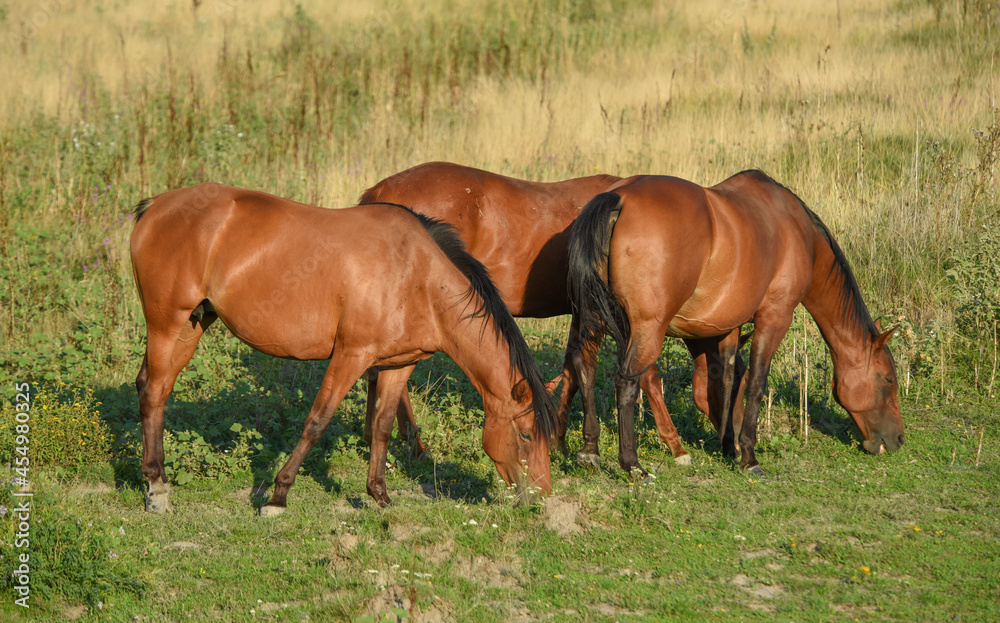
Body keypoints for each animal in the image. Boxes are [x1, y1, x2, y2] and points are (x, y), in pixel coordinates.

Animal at [129, 183, 555, 513]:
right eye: (527, 435)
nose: (541, 497)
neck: (417, 276)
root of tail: (156, 205)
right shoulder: (351, 355)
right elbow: (317, 421)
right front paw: (278, 497)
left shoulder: (400, 364)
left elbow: (382, 426)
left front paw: (380, 496)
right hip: (167, 325)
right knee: (152, 392)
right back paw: (155, 489)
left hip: (192, 326)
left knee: (157, 390)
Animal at [358, 162, 748, 469]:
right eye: (739, 381)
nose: (736, 438)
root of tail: (382, 190)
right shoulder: (621, 317)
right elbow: (644, 376)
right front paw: (675, 444)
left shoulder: (583, 313)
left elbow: (572, 370)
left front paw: (559, 438)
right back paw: (414, 443)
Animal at [568, 170, 905, 476]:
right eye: (888, 379)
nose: (899, 439)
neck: (799, 233)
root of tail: (619, 197)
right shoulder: (775, 318)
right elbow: (755, 384)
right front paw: (749, 457)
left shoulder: (729, 326)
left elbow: (727, 382)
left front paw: (728, 445)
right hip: (646, 329)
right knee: (626, 383)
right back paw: (633, 465)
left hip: (593, 320)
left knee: (584, 366)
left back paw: (589, 451)